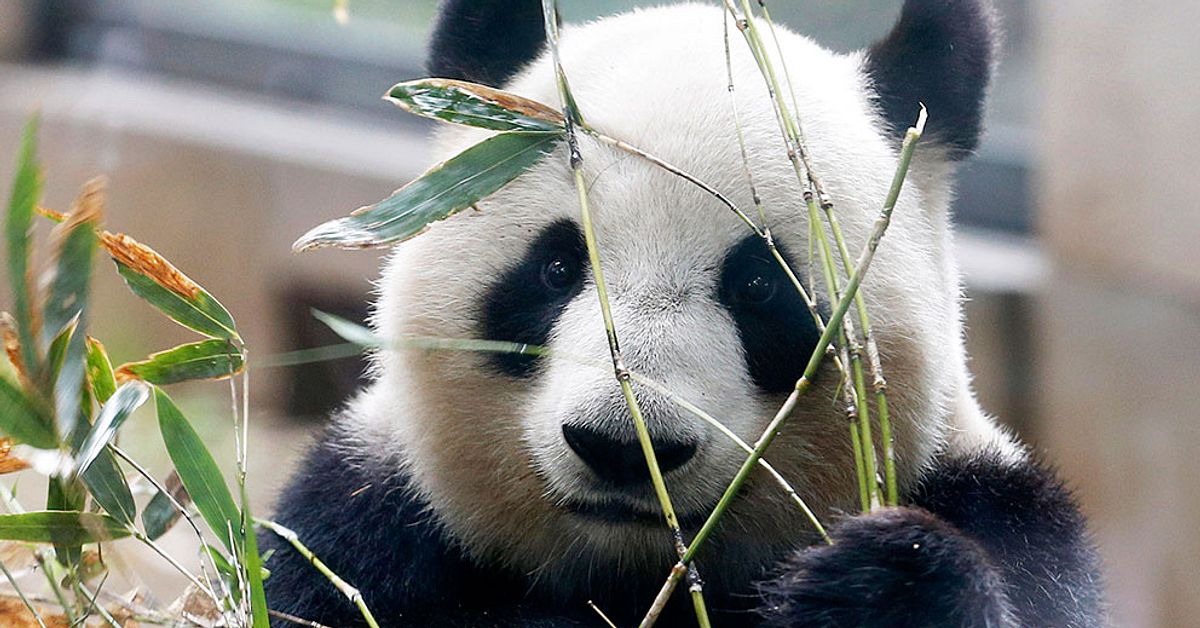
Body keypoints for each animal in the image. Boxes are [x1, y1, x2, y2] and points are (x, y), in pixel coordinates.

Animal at [262, 1, 1105, 626]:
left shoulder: (1003, 514)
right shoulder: (362, 526)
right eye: (559, 267)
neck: (632, 573)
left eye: (759, 287)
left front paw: (876, 588)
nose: (622, 448)